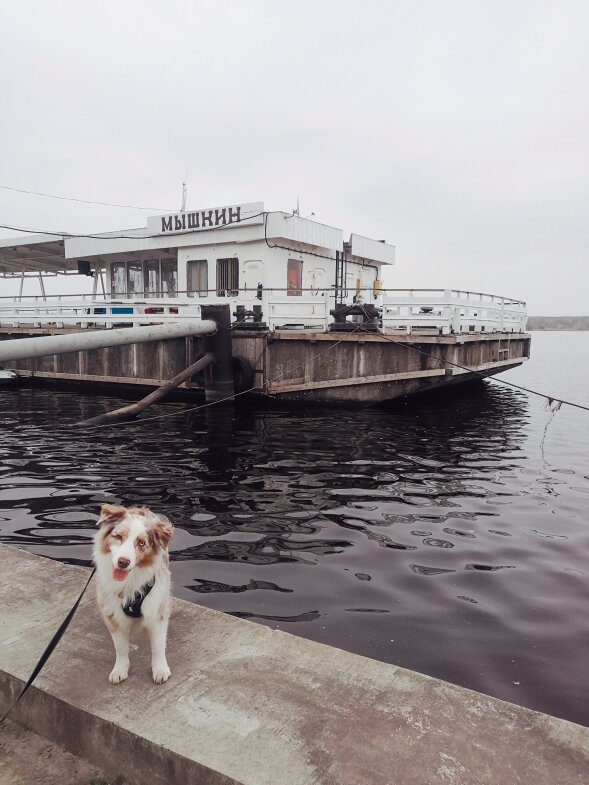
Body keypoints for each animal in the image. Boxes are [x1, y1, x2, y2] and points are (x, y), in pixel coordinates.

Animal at [93, 506, 173, 684]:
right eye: (118, 537)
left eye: (142, 543)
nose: (123, 562)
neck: (130, 581)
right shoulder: (112, 613)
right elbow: (120, 647)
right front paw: (120, 669)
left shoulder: (156, 609)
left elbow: (158, 645)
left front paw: (160, 669)